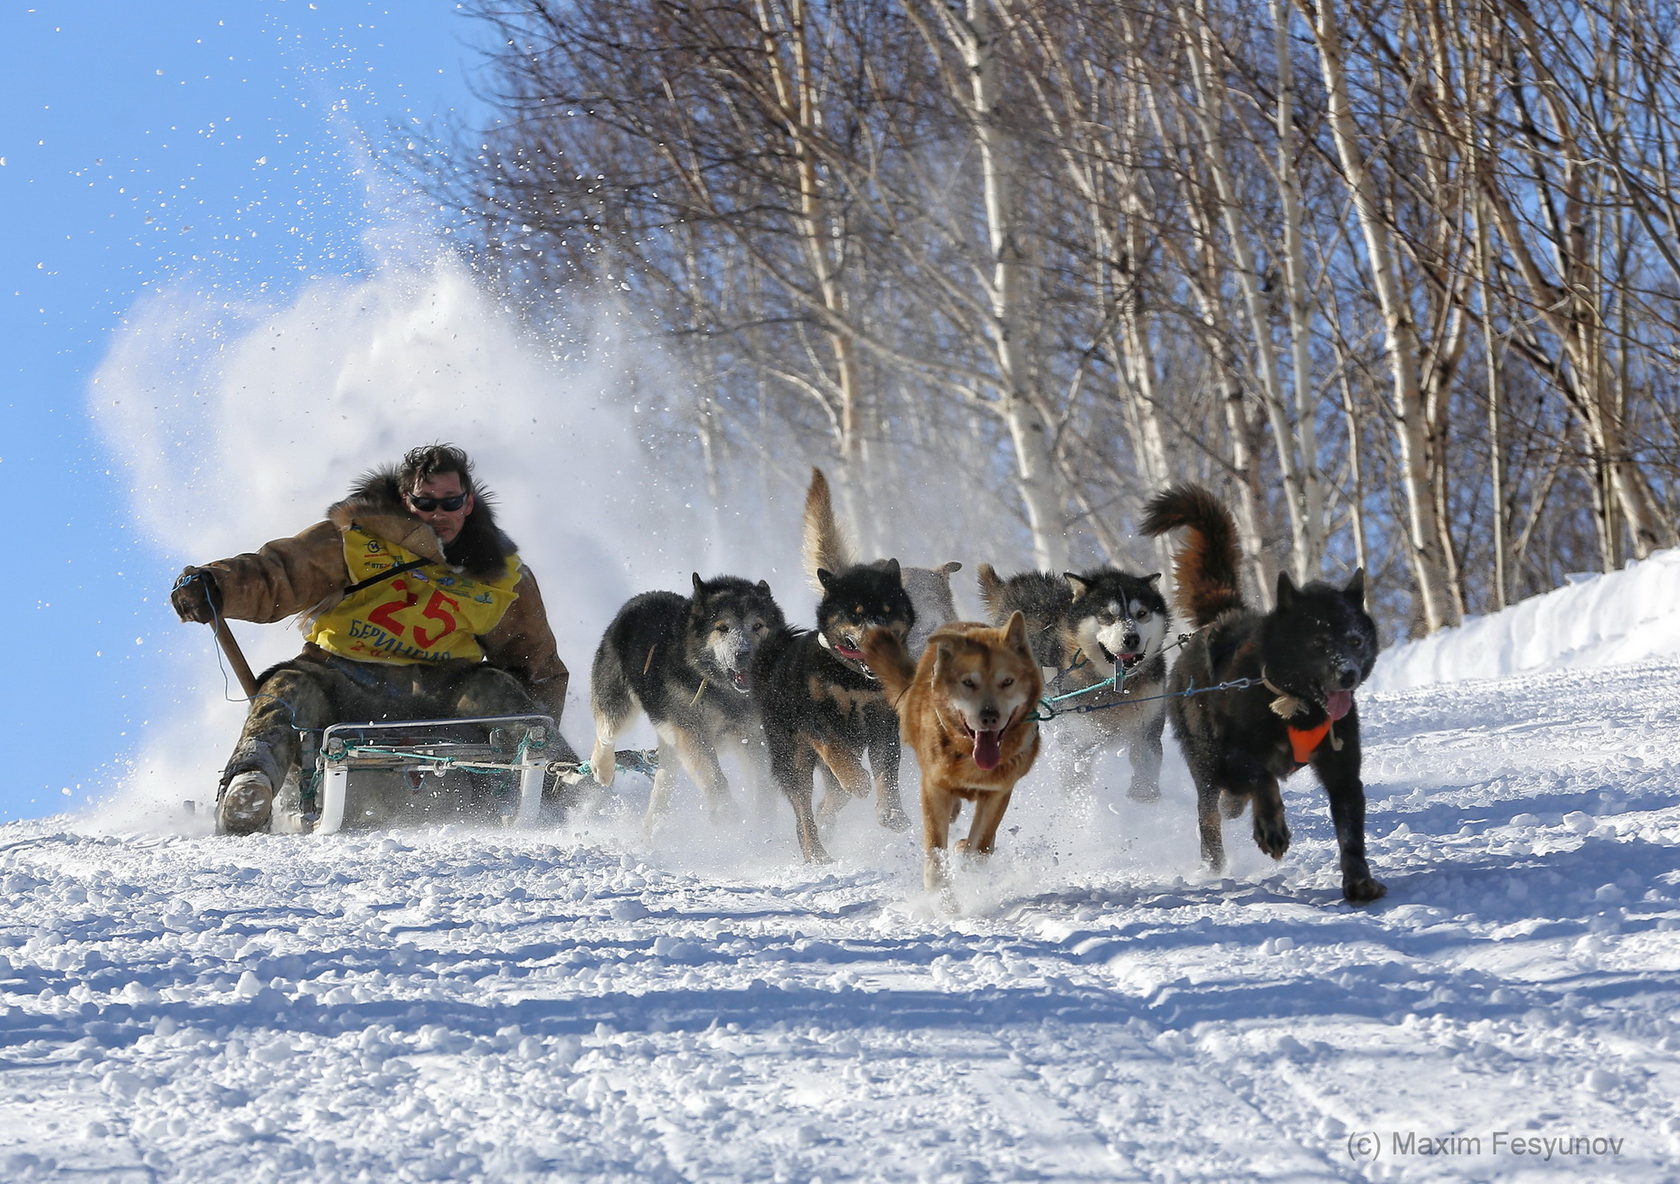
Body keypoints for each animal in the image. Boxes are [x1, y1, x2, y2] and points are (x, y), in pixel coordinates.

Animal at [591, 574, 786, 832]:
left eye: (757, 626)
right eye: (722, 628)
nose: (744, 654)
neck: (722, 691)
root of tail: (639, 600)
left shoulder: (753, 736)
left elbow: (763, 783)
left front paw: (763, 822)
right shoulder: (692, 732)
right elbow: (716, 779)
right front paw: (728, 814)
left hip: (670, 744)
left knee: (663, 783)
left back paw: (653, 829)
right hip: (619, 706)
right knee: (605, 733)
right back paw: (602, 769)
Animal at [759, 557, 920, 859]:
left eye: (888, 609)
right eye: (855, 614)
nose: (880, 637)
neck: (852, 678)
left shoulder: (883, 719)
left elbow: (887, 769)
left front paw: (892, 813)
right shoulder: (813, 716)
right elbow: (833, 747)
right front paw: (857, 780)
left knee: (832, 797)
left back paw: (826, 821)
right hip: (794, 757)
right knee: (803, 810)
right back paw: (815, 853)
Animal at [974, 564, 1169, 802]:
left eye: (1141, 613)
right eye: (1107, 615)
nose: (1131, 638)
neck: (1109, 683)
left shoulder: (1148, 727)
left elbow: (1146, 766)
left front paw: (1143, 798)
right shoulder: (1077, 742)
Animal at [1135, 480, 1384, 893]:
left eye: (1355, 641)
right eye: (1318, 643)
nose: (1347, 673)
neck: (1293, 704)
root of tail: (1221, 617)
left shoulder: (1343, 771)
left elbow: (1350, 830)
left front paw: (1359, 881)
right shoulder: (1233, 758)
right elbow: (1262, 777)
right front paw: (1271, 828)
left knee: (1229, 803)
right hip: (1204, 762)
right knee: (1210, 813)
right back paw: (1215, 862)